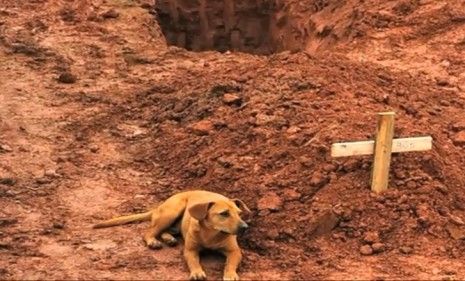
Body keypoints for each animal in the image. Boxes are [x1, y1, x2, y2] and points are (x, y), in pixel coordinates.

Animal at [92, 189, 248, 278]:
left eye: (239, 213)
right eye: (224, 214)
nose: (245, 227)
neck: (211, 234)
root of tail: (158, 207)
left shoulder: (235, 251)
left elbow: (230, 263)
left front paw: (230, 275)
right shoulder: (190, 250)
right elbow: (194, 261)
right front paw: (197, 272)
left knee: (165, 231)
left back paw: (169, 238)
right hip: (171, 211)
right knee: (149, 231)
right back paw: (153, 241)